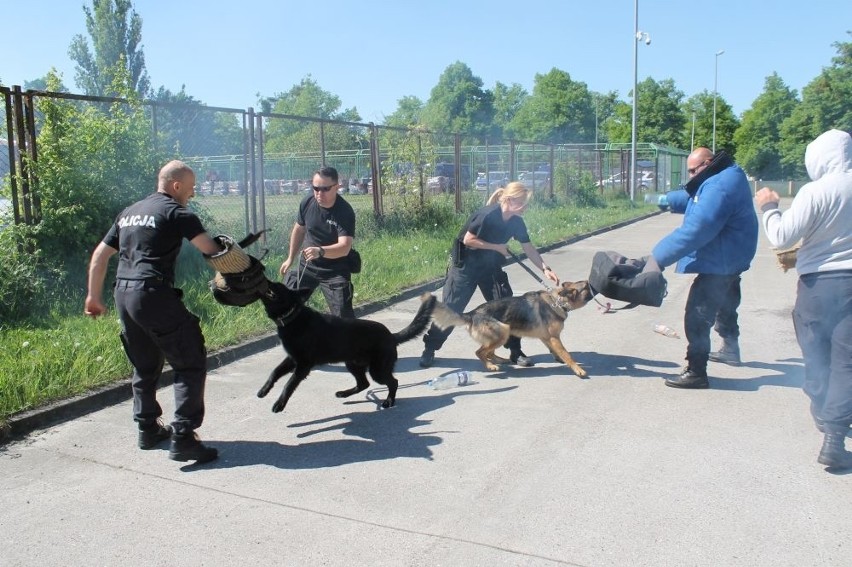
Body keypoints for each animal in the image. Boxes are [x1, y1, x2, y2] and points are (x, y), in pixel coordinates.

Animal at [256, 282, 436, 412]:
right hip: (353, 364)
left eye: (276, 286)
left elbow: (289, 384)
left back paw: (389, 401)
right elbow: (274, 372)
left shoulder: (303, 365)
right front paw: (264, 390)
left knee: (393, 382)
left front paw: (279, 404)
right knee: (364, 384)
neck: (293, 316)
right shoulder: (292, 359)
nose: (264, 279)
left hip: (377, 371)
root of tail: (391, 335)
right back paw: (345, 393)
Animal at [432, 282, 592, 380]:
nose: (593, 286)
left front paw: (559, 358)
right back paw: (490, 366)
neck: (557, 301)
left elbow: (555, 350)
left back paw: (499, 360)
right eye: (586, 286)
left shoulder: (547, 338)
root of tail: (472, 313)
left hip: (502, 333)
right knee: (480, 352)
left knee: (488, 352)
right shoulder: (554, 337)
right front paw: (577, 369)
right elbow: (566, 354)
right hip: (503, 331)